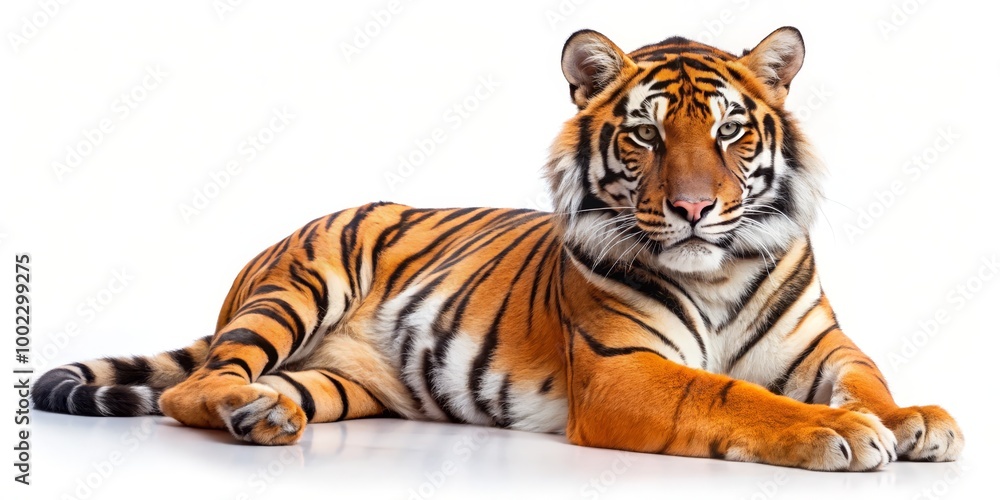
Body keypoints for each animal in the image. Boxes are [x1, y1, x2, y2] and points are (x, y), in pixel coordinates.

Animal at [33, 27, 963, 471]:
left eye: (731, 133)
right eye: (647, 136)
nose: (696, 209)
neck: (719, 272)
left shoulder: (824, 345)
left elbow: (868, 380)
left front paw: (915, 419)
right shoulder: (623, 370)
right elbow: (733, 395)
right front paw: (837, 434)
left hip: (333, 382)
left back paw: (264, 414)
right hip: (297, 288)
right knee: (189, 385)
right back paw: (246, 412)